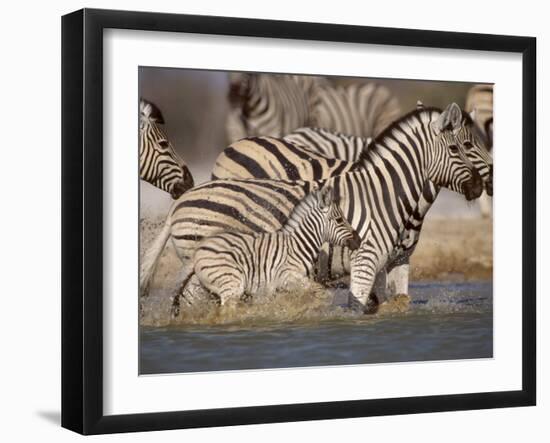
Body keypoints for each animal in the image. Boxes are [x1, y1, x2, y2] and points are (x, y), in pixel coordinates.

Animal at [192, 187, 364, 308]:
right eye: (340, 220)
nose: (359, 240)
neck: (299, 245)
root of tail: (199, 248)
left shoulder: (279, 287)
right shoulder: (287, 276)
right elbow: (320, 291)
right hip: (231, 282)